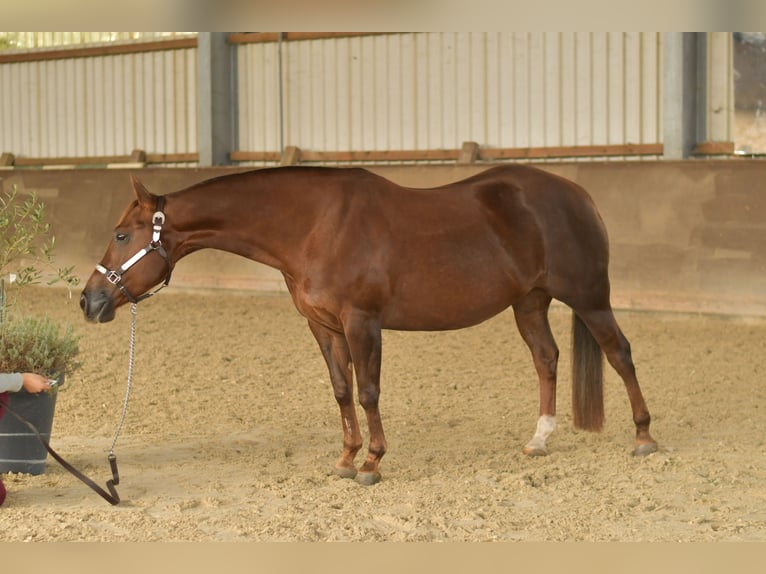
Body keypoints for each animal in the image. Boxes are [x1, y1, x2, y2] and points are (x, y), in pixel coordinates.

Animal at [80, 164, 657, 485]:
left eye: (123, 235)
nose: (90, 300)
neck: (315, 226)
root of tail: (577, 195)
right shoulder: (324, 327)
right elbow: (341, 390)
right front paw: (344, 458)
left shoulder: (362, 323)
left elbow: (368, 391)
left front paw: (373, 464)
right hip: (530, 303)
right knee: (547, 358)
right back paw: (539, 440)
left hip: (589, 297)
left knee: (620, 353)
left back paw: (644, 437)